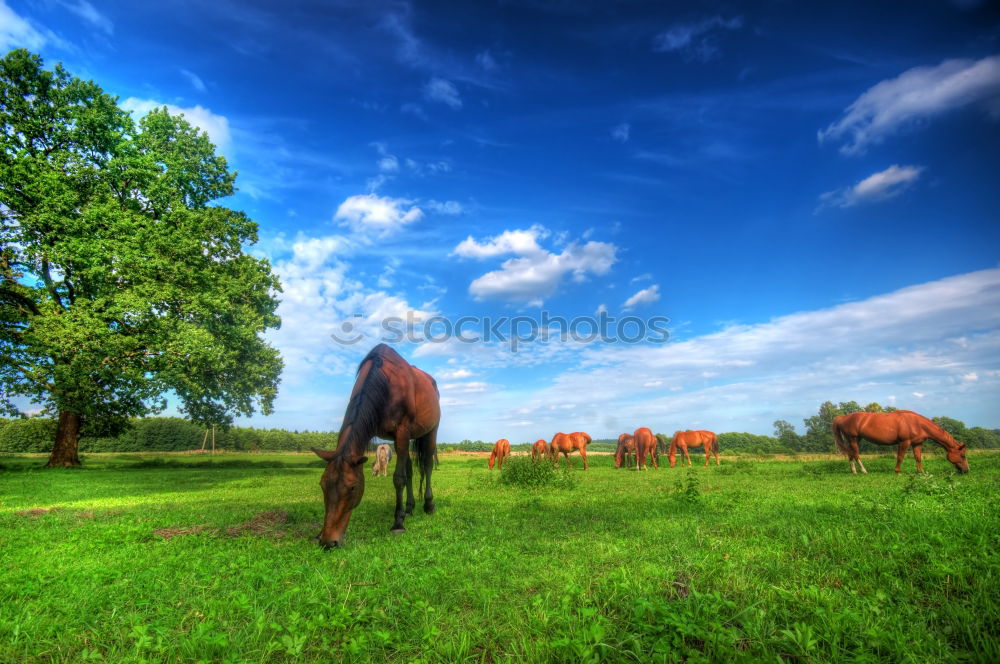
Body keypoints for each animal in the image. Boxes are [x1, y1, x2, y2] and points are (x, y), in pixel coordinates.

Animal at [310, 344, 440, 548]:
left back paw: (428, 505)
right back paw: (409, 508)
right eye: (322, 485)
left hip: (430, 432)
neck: (386, 383)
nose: (328, 541)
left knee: (426, 467)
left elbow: (399, 479)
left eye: (352, 487)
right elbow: (405, 475)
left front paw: (398, 523)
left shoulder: (401, 433)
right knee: (411, 471)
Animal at [836, 410, 968, 472]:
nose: (966, 470)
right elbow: (900, 457)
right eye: (963, 455)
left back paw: (854, 471)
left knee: (850, 454)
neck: (917, 424)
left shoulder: (917, 443)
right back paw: (864, 470)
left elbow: (918, 458)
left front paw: (921, 472)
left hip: (855, 440)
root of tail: (842, 418)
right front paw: (897, 471)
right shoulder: (904, 442)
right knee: (856, 454)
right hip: (853, 439)